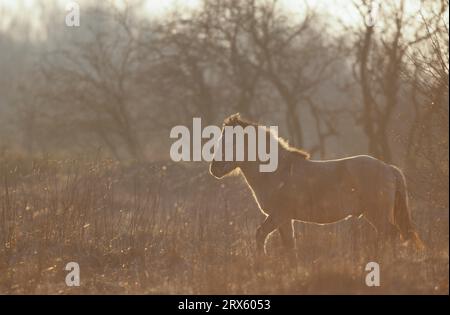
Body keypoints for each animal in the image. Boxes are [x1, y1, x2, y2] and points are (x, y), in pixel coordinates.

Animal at [209, 113, 424, 256]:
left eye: (232, 142)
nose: (215, 168)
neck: (277, 173)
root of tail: (388, 168)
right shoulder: (285, 219)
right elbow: (289, 246)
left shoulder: (279, 215)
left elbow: (260, 235)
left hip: (377, 213)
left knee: (392, 234)